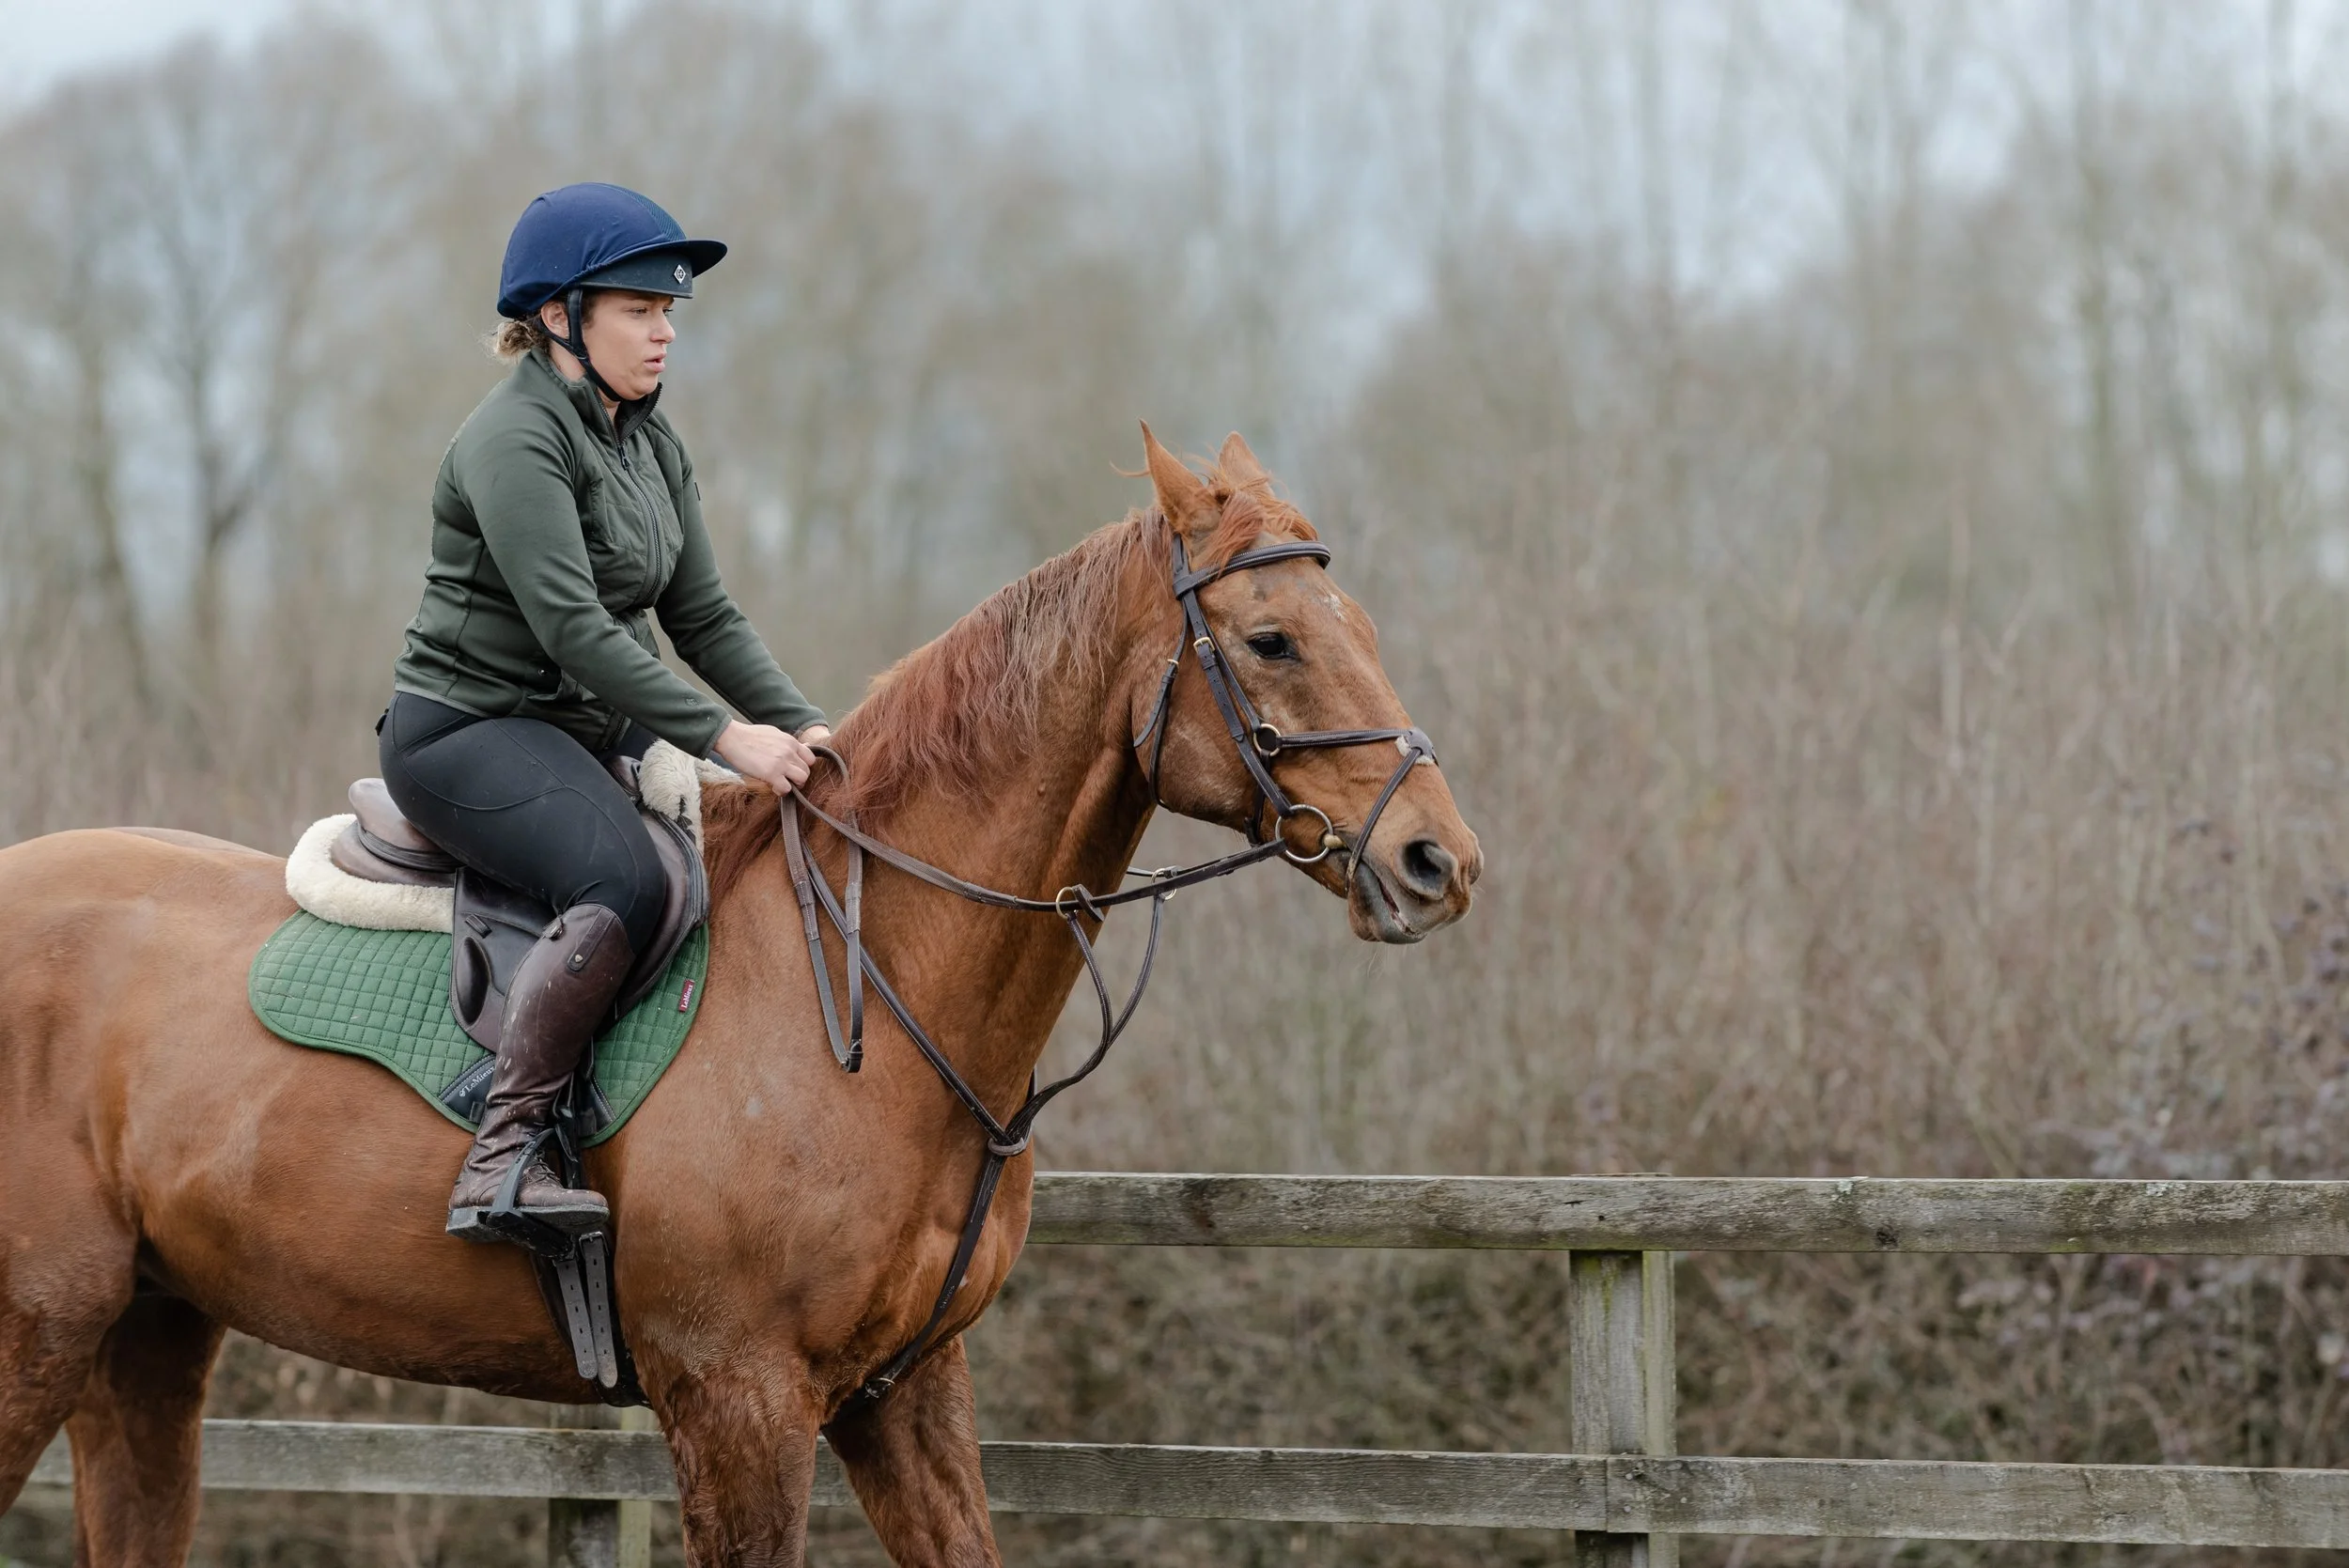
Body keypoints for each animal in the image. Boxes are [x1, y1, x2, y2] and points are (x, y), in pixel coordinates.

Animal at [0, 429, 1479, 1565]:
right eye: (1272, 640)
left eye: (1357, 626)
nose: (1439, 862)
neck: (877, 999)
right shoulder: (740, 1402)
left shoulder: (905, 1394)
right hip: (39, 1333)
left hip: (143, 1339)